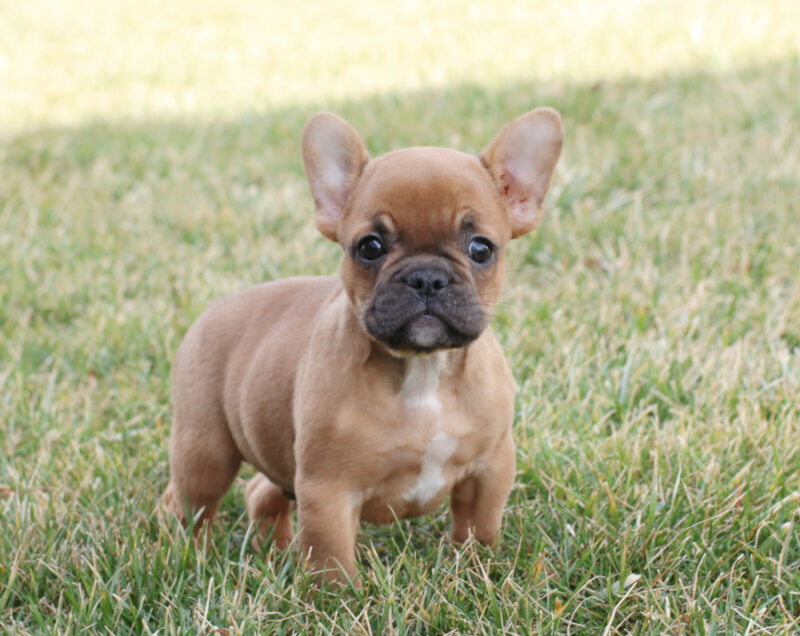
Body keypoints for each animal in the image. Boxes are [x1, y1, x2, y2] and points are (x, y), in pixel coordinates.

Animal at [162, 107, 564, 584]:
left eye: (481, 249)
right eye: (370, 247)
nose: (426, 277)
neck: (423, 371)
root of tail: (215, 308)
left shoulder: (490, 468)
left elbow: (477, 528)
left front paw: (475, 573)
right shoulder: (328, 490)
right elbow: (331, 557)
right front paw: (336, 595)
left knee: (261, 490)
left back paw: (272, 550)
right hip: (205, 452)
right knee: (187, 503)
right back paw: (187, 556)